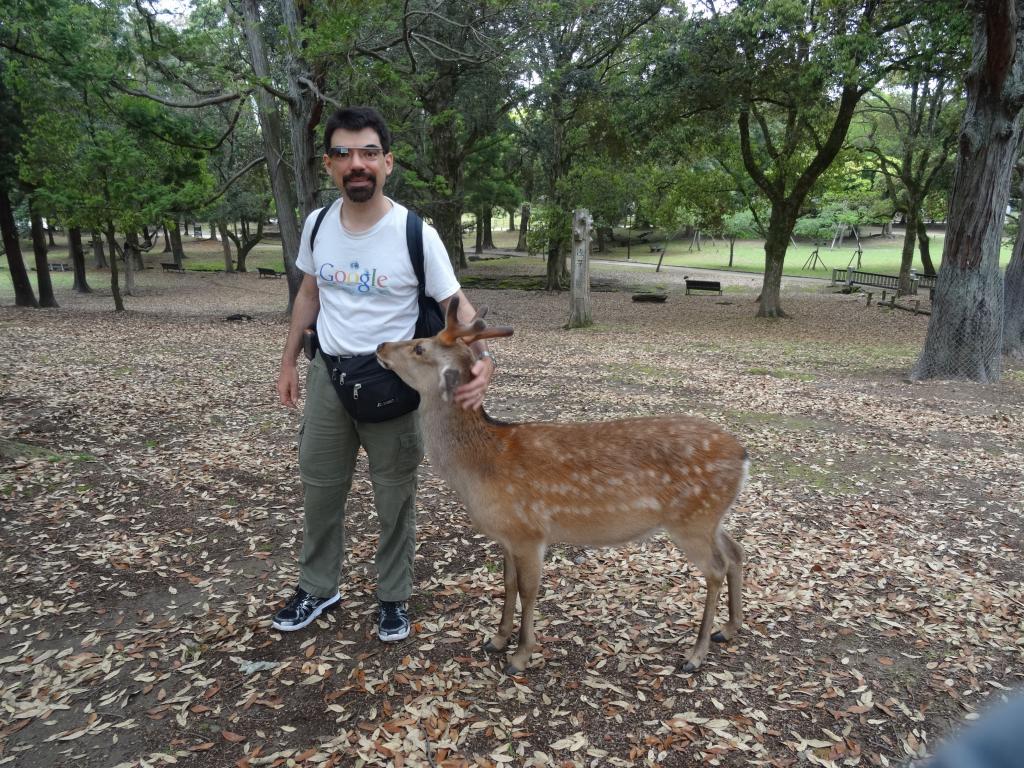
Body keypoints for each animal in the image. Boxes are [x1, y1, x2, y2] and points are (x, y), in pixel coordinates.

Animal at [380, 296, 749, 675]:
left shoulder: (529, 531)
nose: (380, 346)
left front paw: (520, 656)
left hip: (692, 520)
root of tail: (743, 455)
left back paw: (696, 654)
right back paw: (728, 629)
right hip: (710, 518)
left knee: (716, 569)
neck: (479, 467)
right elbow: (507, 583)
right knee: (736, 552)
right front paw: (497, 639)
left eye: (420, 347)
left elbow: (528, 589)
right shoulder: (507, 535)